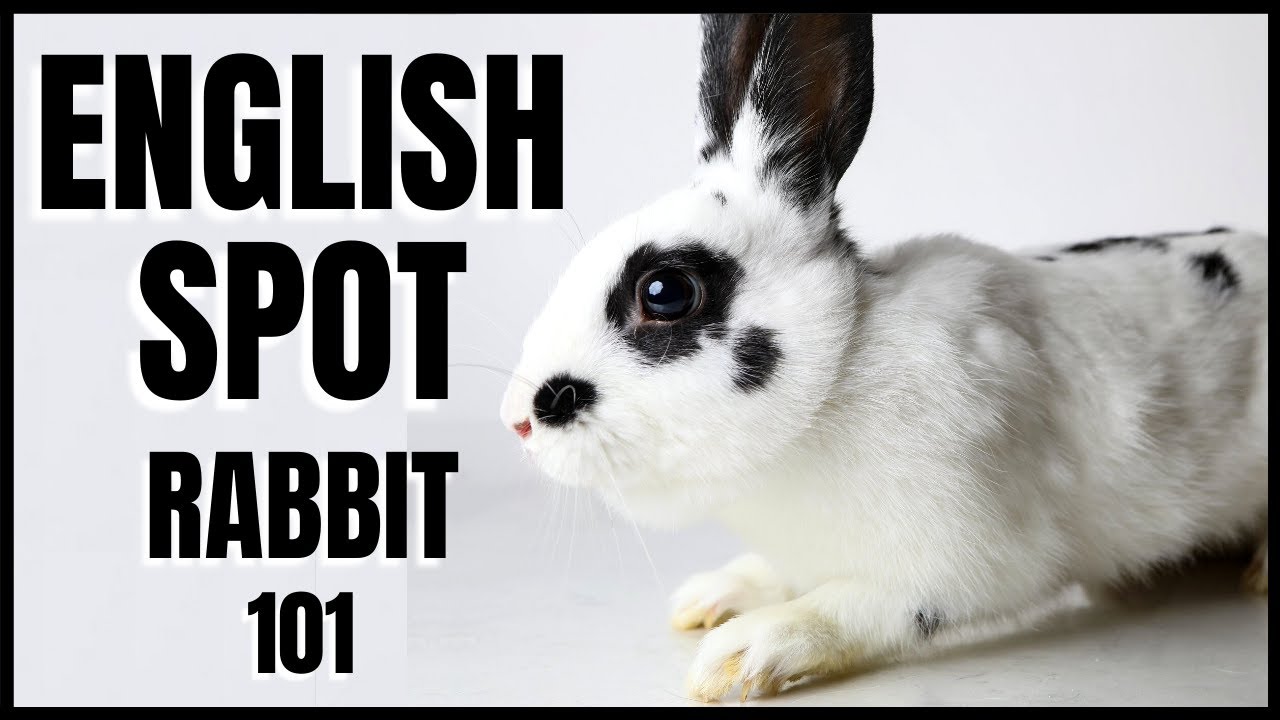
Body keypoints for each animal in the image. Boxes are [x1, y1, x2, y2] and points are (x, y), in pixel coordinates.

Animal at [498, 13, 1268, 702]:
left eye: (666, 291)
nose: (518, 422)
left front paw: (745, 653)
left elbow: (859, 607)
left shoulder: (970, 559)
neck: (839, 371)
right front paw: (714, 596)